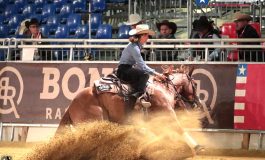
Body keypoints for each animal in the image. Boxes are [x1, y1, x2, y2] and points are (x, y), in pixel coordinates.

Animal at [55, 64, 203, 152]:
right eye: (195, 84)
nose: (197, 103)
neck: (161, 89)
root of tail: (72, 105)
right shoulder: (168, 114)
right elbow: (179, 128)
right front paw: (197, 147)